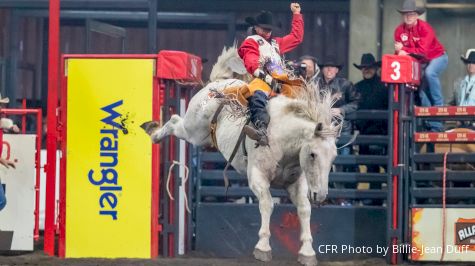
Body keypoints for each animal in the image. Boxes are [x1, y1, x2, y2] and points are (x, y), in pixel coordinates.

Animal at [141, 46, 342, 266]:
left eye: (333, 157)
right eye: (313, 154)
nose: (321, 195)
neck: (283, 139)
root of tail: (217, 83)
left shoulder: (297, 182)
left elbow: (304, 209)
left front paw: (307, 252)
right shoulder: (257, 176)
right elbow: (267, 203)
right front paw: (262, 248)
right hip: (193, 130)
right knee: (175, 120)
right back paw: (153, 132)